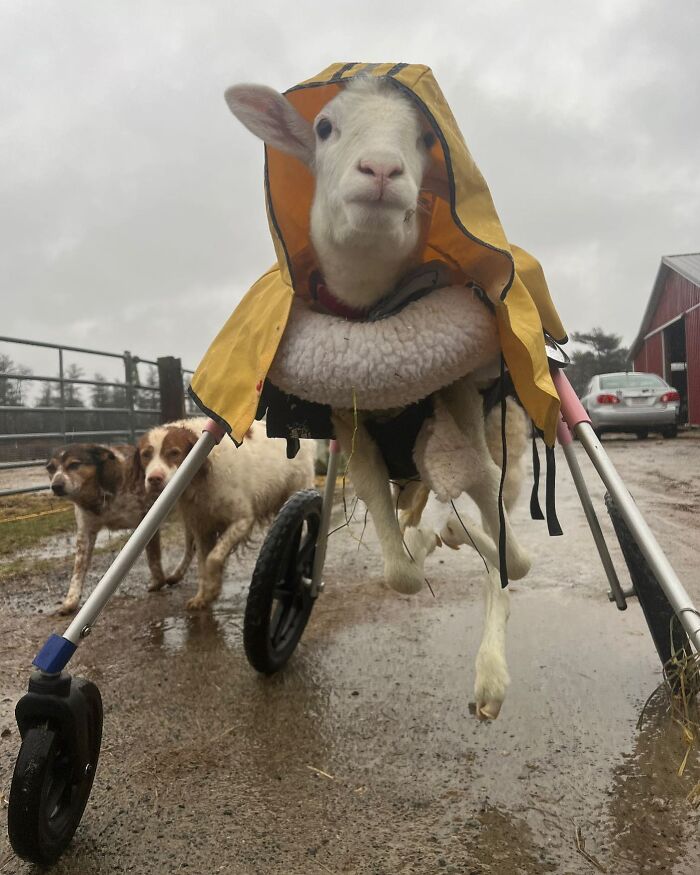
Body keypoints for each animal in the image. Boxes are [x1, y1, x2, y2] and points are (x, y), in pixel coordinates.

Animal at [225, 76, 530, 718]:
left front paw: (445, 538)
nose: (383, 169)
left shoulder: (462, 422)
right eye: (323, 126)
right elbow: (400, 575)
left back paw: (489, 675)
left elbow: (506, 554)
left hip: (504, 455)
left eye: (425, 138)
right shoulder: (354, 435)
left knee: (507, 555)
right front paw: (420, 545)